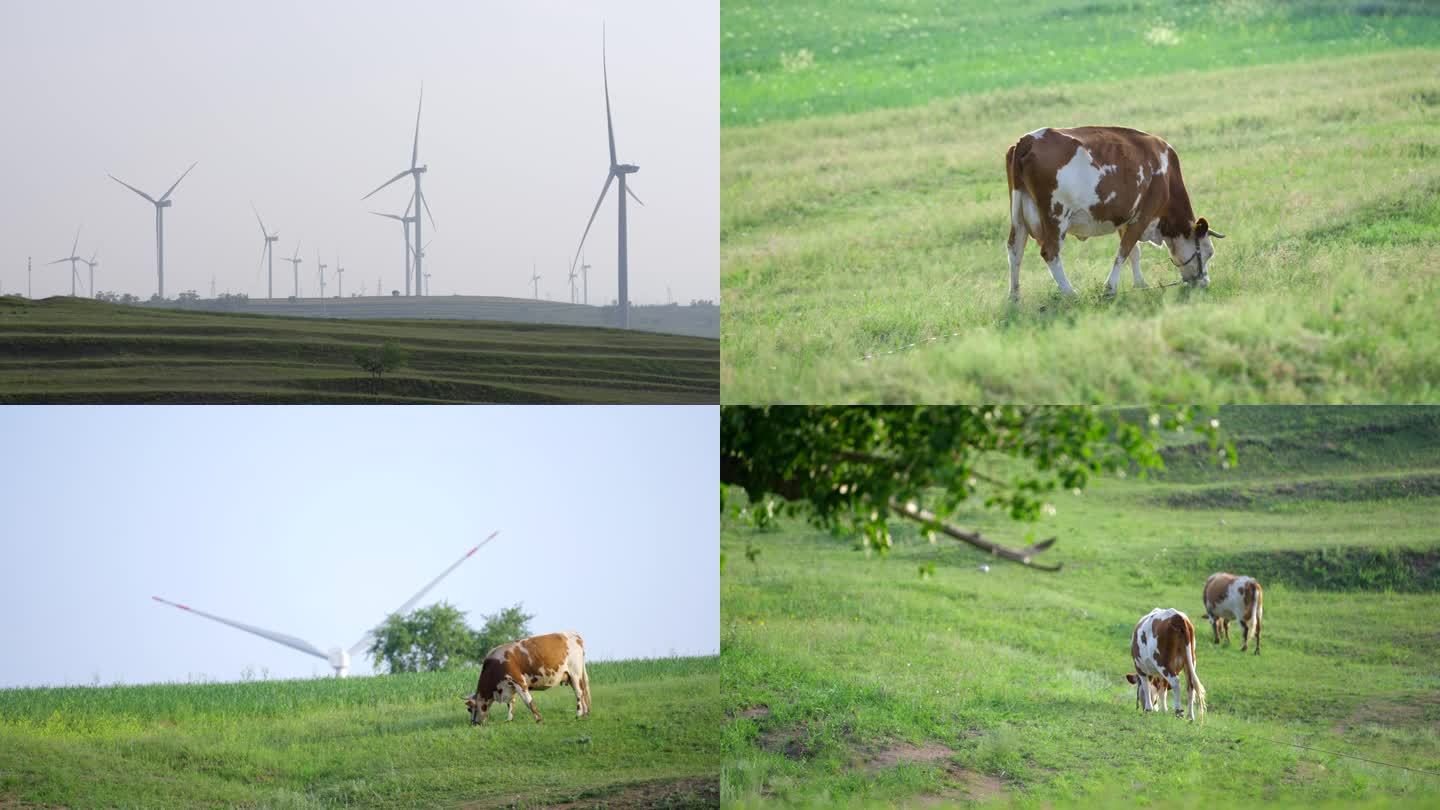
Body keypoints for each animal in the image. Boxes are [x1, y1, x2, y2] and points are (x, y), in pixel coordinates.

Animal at [1002, 127, 1226, 298]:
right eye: (1208, 252)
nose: (1204, 282)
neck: (1166, 175)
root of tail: (1027, 140)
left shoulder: (1125, 218)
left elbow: (1134, 252)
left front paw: (1141, 284)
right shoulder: (1143, 216)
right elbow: (1124, 251)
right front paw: (1110, 288)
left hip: (1018, 214)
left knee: (1015, 250)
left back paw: (1014, 298)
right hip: (1056, 217)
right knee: (1050, 252)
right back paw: (1070, 293)